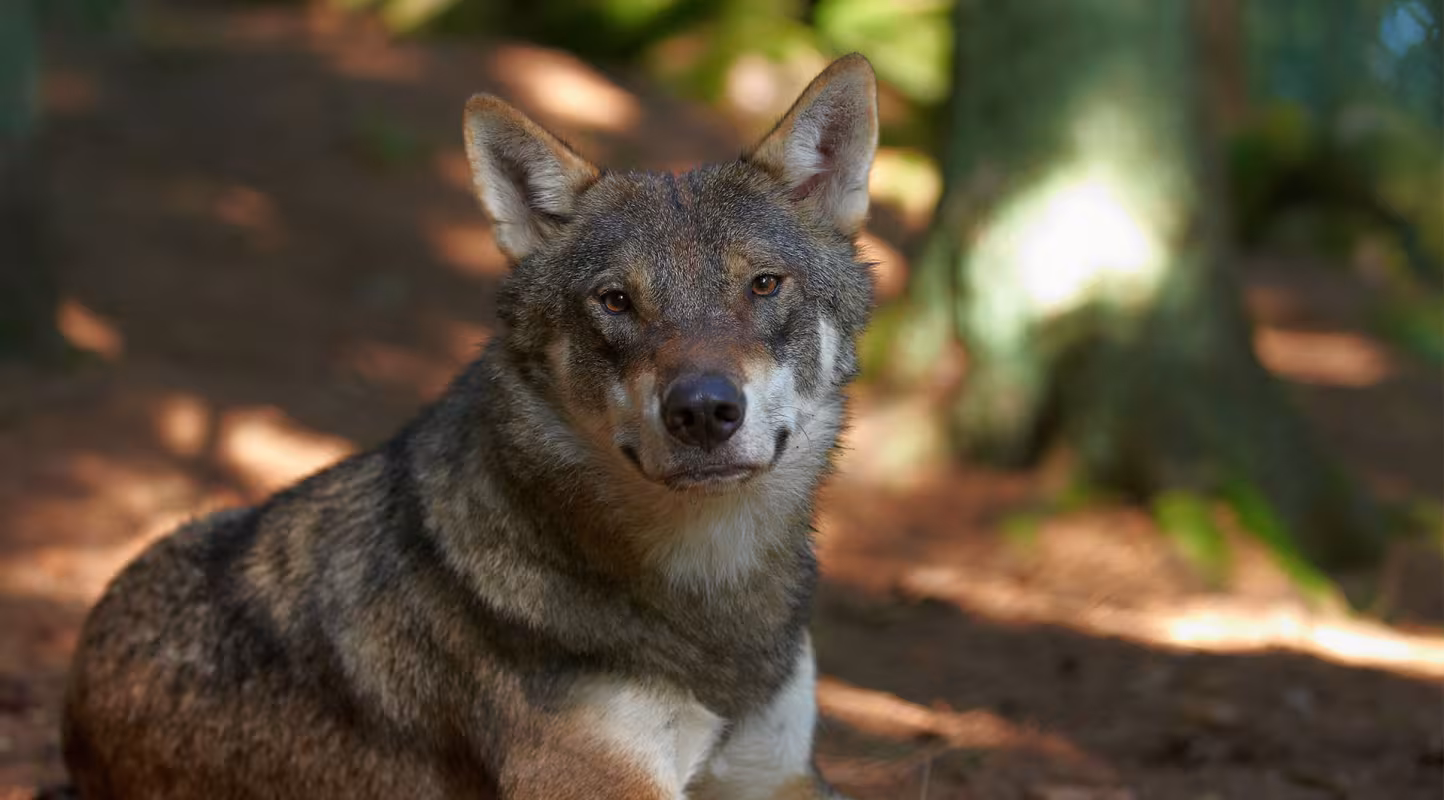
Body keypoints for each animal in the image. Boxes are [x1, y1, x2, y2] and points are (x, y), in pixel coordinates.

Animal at [61, 53, 878, 799]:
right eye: (616, 301)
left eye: (763, 284)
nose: (703, 409)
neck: (713, 605)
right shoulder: (606, 786)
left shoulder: (782, 775)